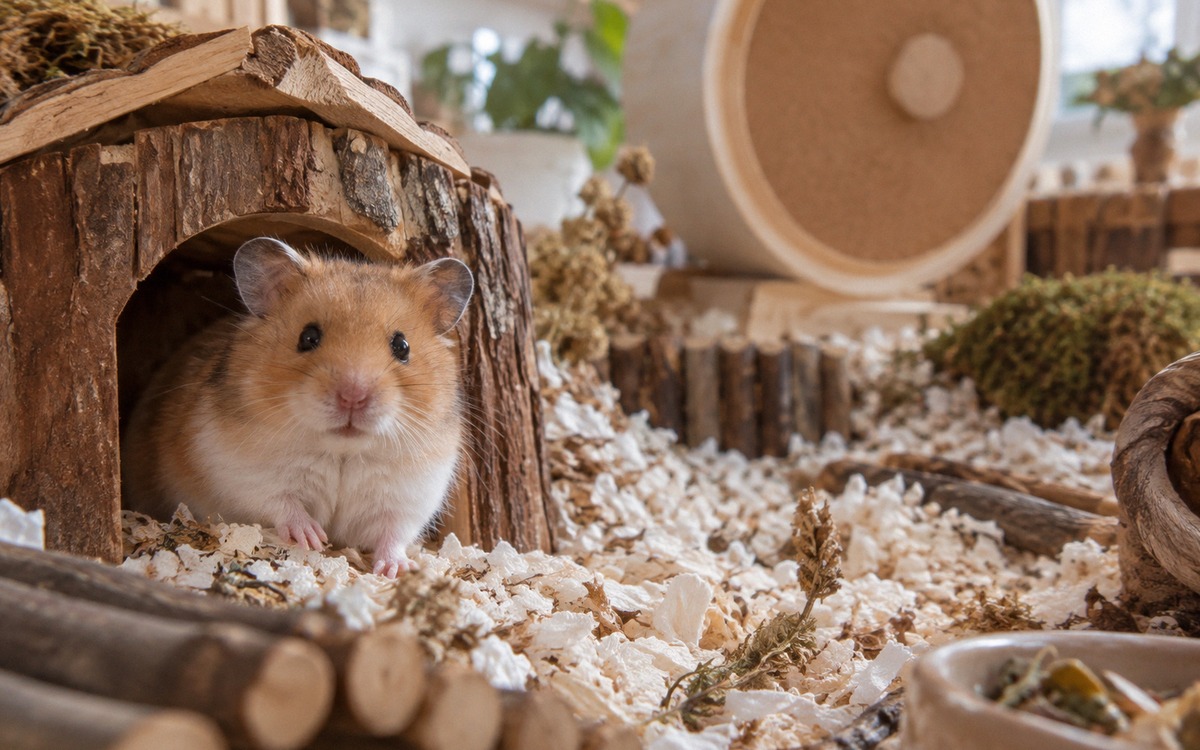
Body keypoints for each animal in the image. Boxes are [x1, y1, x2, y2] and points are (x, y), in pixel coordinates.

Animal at [121, 237, 474, 578]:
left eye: (402, 346)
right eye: (308, 337)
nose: (353, 396)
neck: (341, 451)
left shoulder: (411, 494)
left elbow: (394, 533)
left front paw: (396, 571)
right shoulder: (239, 473)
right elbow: (282, 504)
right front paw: (314, 538)